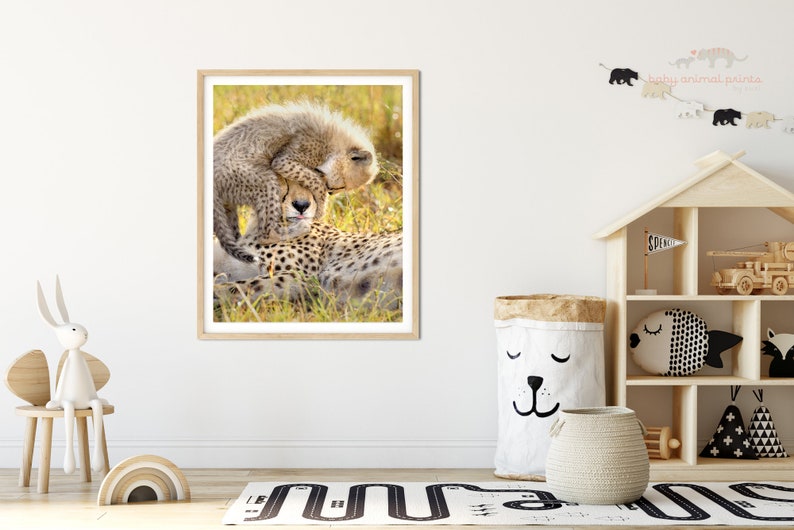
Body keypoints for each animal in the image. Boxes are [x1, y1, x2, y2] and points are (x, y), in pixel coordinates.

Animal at [213, 100, 379, 264]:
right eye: (343, 184)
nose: (331, 190)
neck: (333, 139)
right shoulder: (285, 160)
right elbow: (314, 180)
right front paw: (320, 208)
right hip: (263, 180)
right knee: (266, 235)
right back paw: (299, 228)